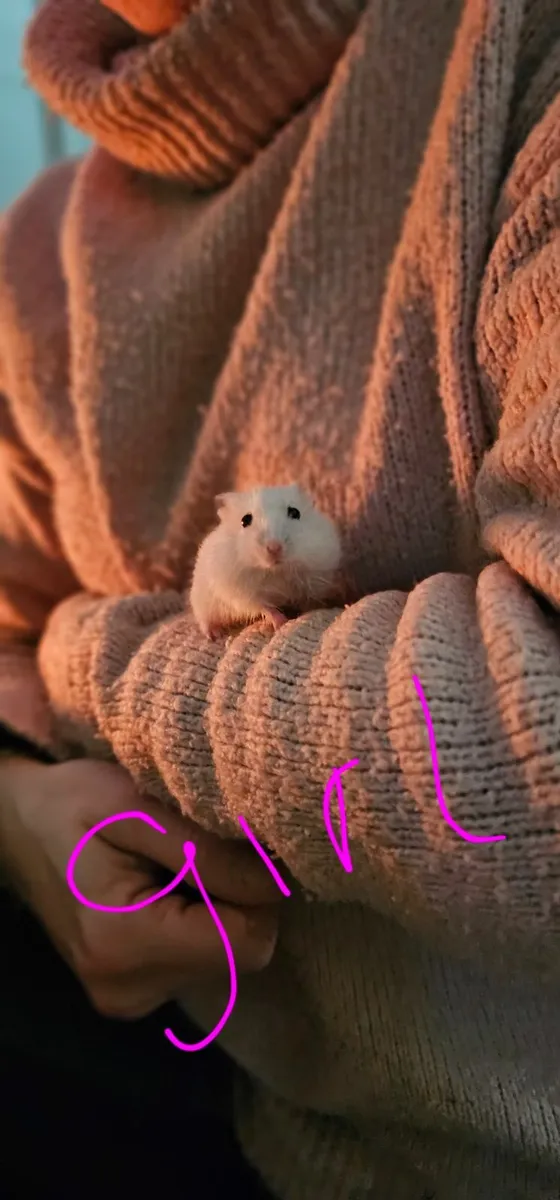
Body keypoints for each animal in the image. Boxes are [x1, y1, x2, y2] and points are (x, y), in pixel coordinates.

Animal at [189, 484, 342, 640]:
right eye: (245, 520)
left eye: (295, 512)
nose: (274, 548)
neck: (277, 570)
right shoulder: (244, 594)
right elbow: (266, 608)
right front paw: (282, 623)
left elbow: (307, 602)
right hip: (202, 600)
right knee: (205, 620)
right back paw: (216, 634)